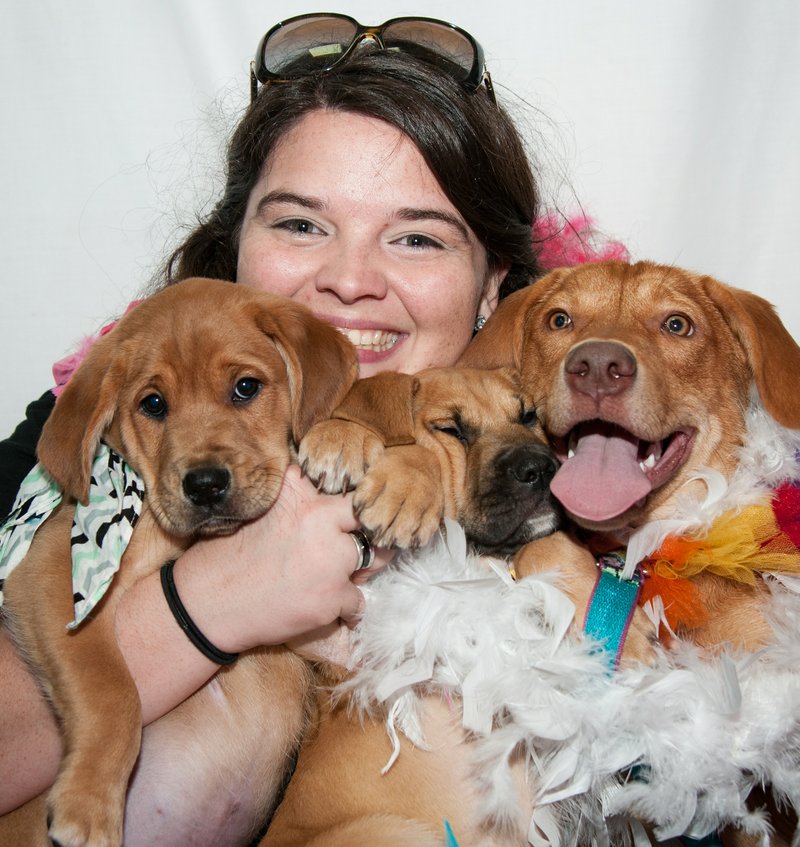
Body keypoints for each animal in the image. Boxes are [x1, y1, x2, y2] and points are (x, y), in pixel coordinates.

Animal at [0, 280, 356, 847]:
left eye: (245, 388)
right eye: (153, 404)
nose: (205, 485)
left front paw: (342, 436)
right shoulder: (50, 570)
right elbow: (110, 689)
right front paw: (89, 803)